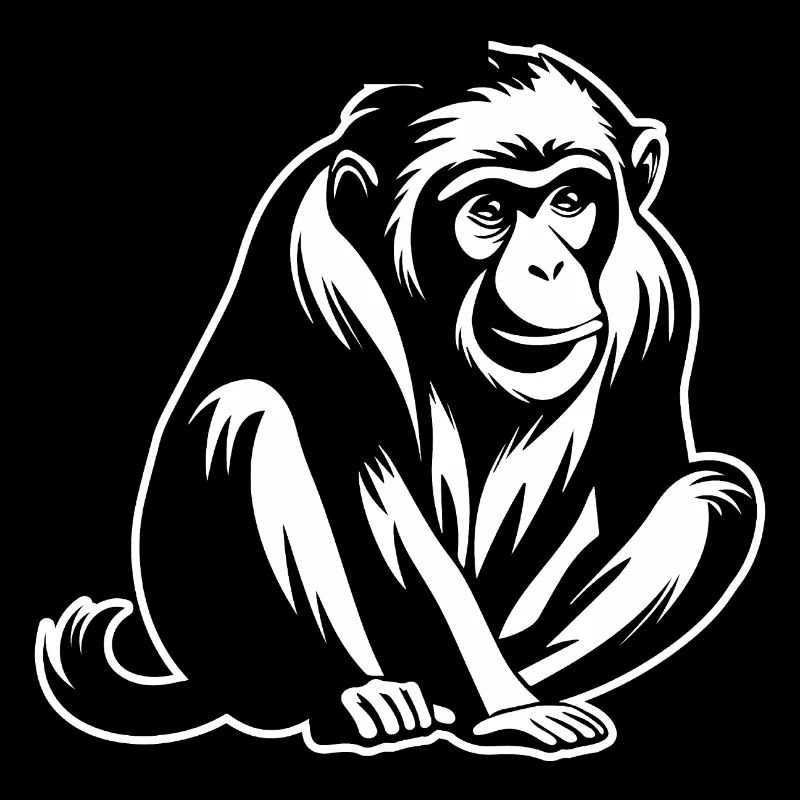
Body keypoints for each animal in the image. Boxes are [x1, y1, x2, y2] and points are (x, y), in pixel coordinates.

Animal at [36, 42, 762, 760]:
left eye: (570, 200)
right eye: (489, 211)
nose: (548, 267)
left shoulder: (657, 289)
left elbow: (645, 480)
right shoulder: (326, 276)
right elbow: (382, 492)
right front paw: (507, 709)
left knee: (717, 497)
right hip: (227, 647)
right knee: (244, 419)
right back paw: (357, 698)